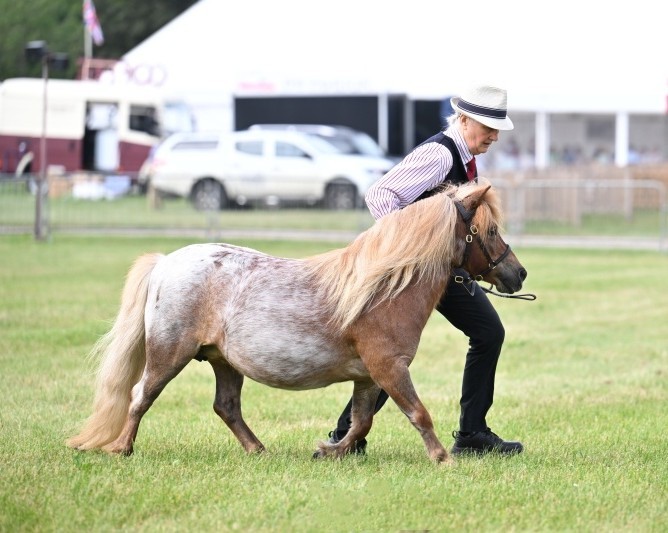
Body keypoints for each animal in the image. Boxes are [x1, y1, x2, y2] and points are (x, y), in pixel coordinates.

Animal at [66, 178, 527, 464]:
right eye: (490, 231)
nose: (518, 273)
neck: (383, 290)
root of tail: (166, 263)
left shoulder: (369, 376)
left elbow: (360, 422)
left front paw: (329, 451)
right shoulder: (389, 368)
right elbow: (418, 413)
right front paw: (443, 458)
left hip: (223, 361)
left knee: (226, 406)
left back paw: (258, 450)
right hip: (169, 354)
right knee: (141, 394)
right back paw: (122, 448)